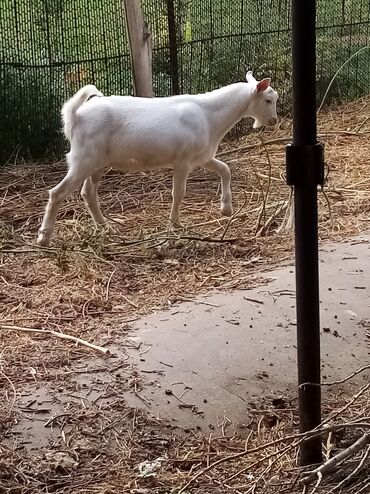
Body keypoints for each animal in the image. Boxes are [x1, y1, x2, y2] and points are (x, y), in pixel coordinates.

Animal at [36, 71, 278, 245]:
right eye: (268, 99)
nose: (274, 121)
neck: (209, 116)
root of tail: (75, 116)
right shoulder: (183, 160)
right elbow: (178, 193)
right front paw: (175, 225)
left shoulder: (202, 156)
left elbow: (225, 169)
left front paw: (226, 208)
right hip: (83, 159)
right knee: (57, 193)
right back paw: (44, 237)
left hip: (96, 163)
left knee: (88, 193)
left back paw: (106, 228)